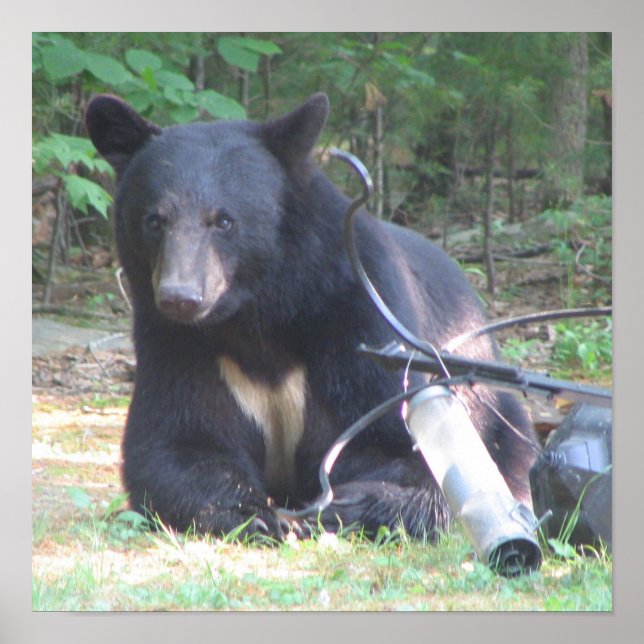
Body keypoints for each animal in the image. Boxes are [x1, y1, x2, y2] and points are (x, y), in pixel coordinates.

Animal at [84, 92, 539, 540]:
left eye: (224, 220)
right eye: (154, 220)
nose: (180, 297)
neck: (259, 314)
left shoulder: (357, 315)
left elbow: (397, 443)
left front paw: (342, 506)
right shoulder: (175, 342)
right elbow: (176, 442)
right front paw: (254, 513)